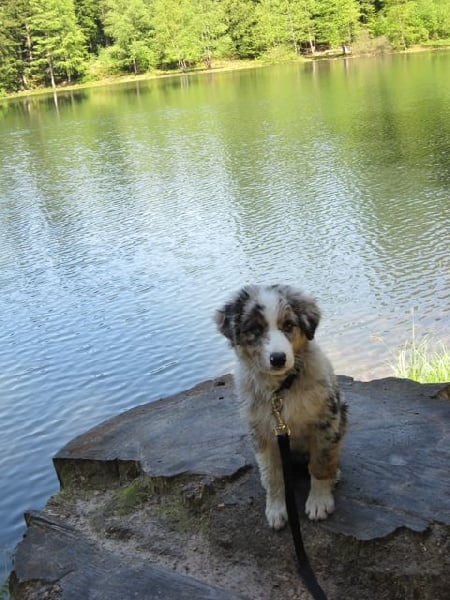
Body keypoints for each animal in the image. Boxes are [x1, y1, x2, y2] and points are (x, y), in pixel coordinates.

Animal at [214, 284, 348, 528]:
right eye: (256, 329)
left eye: (288, 325)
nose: (278, 358)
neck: (281, 390)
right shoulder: (262, 432)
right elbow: (272, 475)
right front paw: (276, 509)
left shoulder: (326, 421)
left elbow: (321, 464)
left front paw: (319, 501)